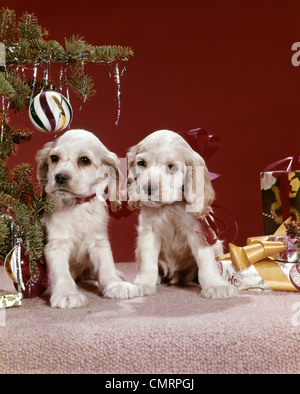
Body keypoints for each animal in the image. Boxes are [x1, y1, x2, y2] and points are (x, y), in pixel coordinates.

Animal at [35, 129, 137, 308]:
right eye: (54, 158)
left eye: (84, 160)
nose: (60, 177)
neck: (77, 206)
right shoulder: (56, 245)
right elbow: (61, 271)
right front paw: (67, 294)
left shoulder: (99, 241)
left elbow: (106, 264)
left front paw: (115, 284)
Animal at [126, 129, 237, 298]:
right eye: (141, 163)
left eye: (172, 167)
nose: (147, 188)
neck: (169, 207)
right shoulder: (148, 231)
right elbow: (147, 261)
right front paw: (143, 283)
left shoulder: (199, 232)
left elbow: (206, 261)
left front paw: (216, 285)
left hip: (217, 245)